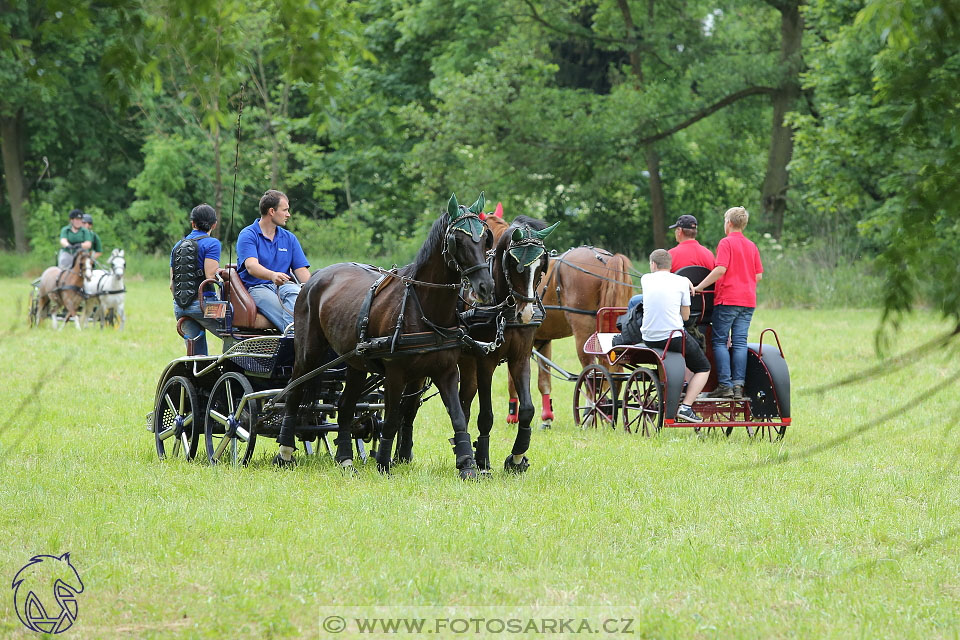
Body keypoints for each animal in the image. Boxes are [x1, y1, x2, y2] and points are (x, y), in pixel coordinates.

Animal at [276, 192, 496, 478]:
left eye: (486, 237)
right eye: (457, 240)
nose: (486, 287)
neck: (423, 307)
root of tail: (314, 278)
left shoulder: (446, 371)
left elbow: (458, 417)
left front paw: (467, 464)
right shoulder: (395, 373)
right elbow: (392, 418)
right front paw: (383, 461)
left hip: (355, 362)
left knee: (344, 406)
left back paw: (345, 459)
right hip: (308, 352)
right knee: (294, 392)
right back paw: (285, 453)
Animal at [502, 242, 636, 428]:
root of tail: (607, 259)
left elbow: (512, 380)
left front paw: (512, 417)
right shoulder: (542, 341)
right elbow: (544, 381)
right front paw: (546, 418)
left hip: (583, 335)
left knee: (592, 374)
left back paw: (590, 414)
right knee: (612, 373)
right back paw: (608, 412)